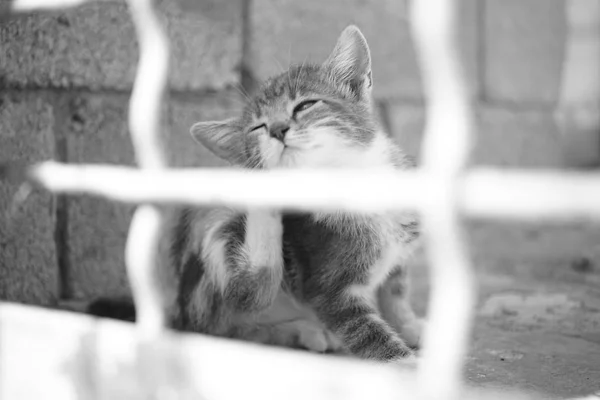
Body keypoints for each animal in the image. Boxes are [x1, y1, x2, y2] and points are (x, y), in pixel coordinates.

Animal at [90, 25, 426, 362]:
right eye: (258, 128)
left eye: (305, 105)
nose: (277, 129)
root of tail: (179, 313)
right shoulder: (329, 288)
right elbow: (370, 335)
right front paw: (405, 362)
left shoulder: (399, 257)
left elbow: (396, 294)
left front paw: (410, 326)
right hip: (216, 233)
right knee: (243, 302)